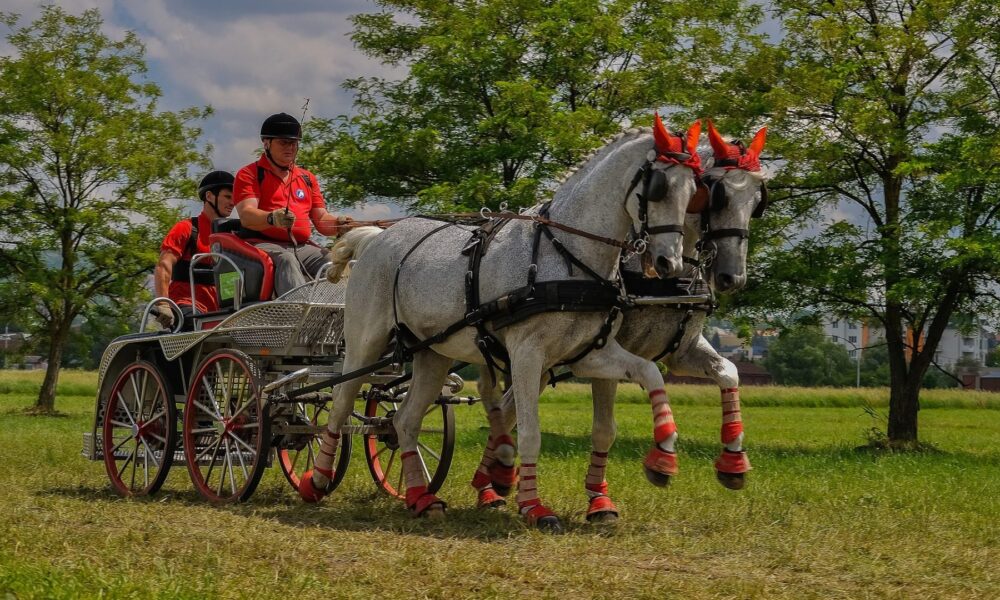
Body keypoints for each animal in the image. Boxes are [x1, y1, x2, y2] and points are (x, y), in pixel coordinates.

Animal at [302, 119, 704, 532]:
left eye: (694, 191)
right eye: (658, 188)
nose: (670, 263)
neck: (567, 253)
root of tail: (379, 237)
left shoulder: (589, 353)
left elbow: (649, 374)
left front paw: (663, 459)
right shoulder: (526, 354)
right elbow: (528, 433)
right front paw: (532, 505)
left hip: (432, 353)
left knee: (404, 421)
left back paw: (420, 498)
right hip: (365, 342)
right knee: (340, 403)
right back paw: (316, 480)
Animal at [470, 120, 772, 520]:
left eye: (757, 200)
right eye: (715, 194)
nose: (731, 278)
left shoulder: (682, 352)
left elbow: (729, 372)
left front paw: (733, 463)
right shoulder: (604, 352)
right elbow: (603, 428)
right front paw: (601, 498)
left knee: (504, 411)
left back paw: (493, 480)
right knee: (504, 409)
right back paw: (490, 482)